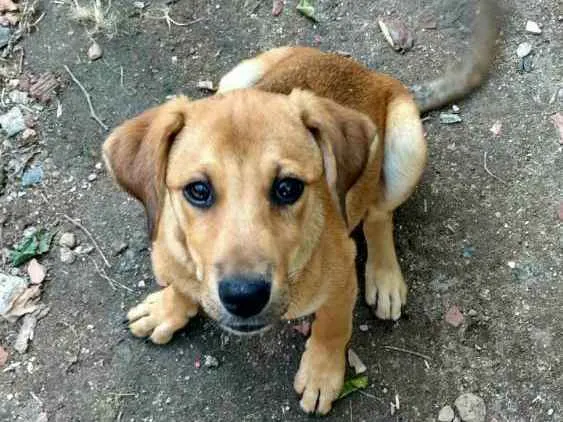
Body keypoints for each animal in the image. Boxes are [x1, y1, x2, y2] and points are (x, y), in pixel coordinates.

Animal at [103, 0, 500, 416]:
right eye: (198, 190)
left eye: (288, 188)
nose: (244, 296)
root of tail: (371, 73)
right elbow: (181, 285)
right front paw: (168, 307)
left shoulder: (342, 273)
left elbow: (333, 324)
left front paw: (322, 372)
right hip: (239, 75)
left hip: (406, 144)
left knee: (378, 213)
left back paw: (384, 276)